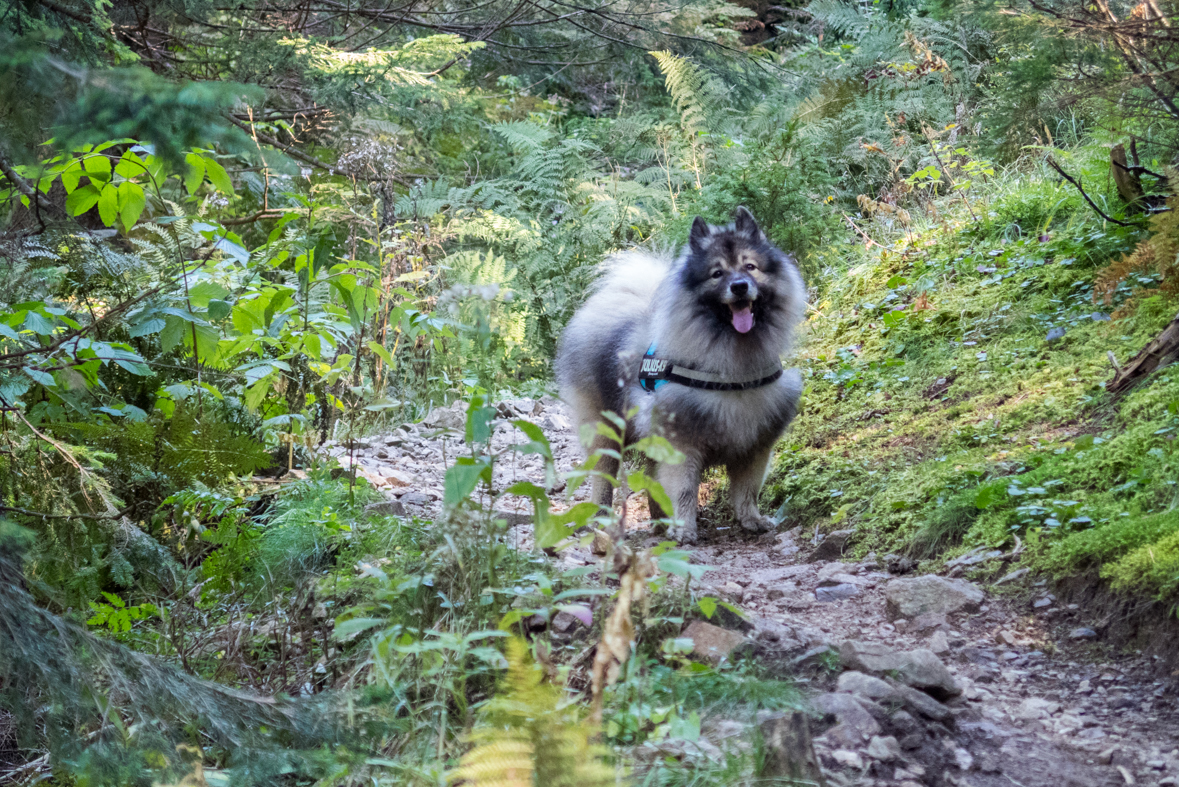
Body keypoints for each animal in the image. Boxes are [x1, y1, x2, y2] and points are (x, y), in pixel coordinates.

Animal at [556, 206, 806, 544]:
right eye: (717, 274)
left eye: (750, 267)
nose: (739, 286)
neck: (733, 366)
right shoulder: (681, 444)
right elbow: (685, 491)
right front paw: (685, 529)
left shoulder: (755, 445)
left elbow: (747, 490)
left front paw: (751, 520)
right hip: (605, 430)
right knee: (603, 478)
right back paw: (601, 520)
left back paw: (661, 523)